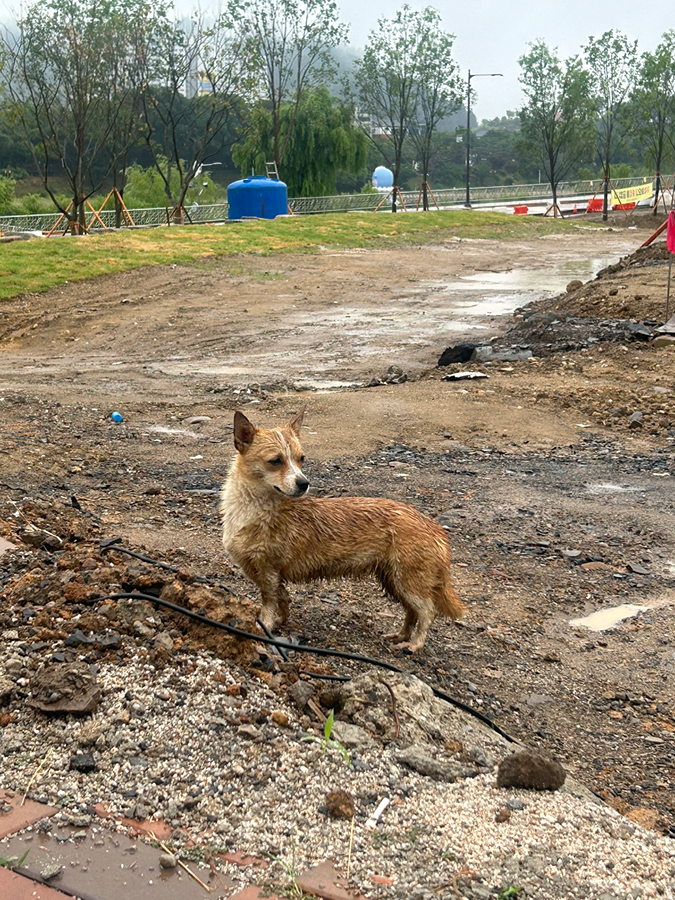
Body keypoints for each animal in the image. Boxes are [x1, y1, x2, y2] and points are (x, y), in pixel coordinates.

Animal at [222, 412, 464, 652]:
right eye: (275, 461)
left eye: (302, 458)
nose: (304, 483)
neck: (255, 507)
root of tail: (434, 528)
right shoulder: (269, 574)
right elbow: (283, 600)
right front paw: (281, 621)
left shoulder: (268, 573)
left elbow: (269, 604)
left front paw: (265, 626)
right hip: (393, 581)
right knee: (412, 611)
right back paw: (401, 635)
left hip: (408, 581)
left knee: (427, 611)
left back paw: (414, 644)